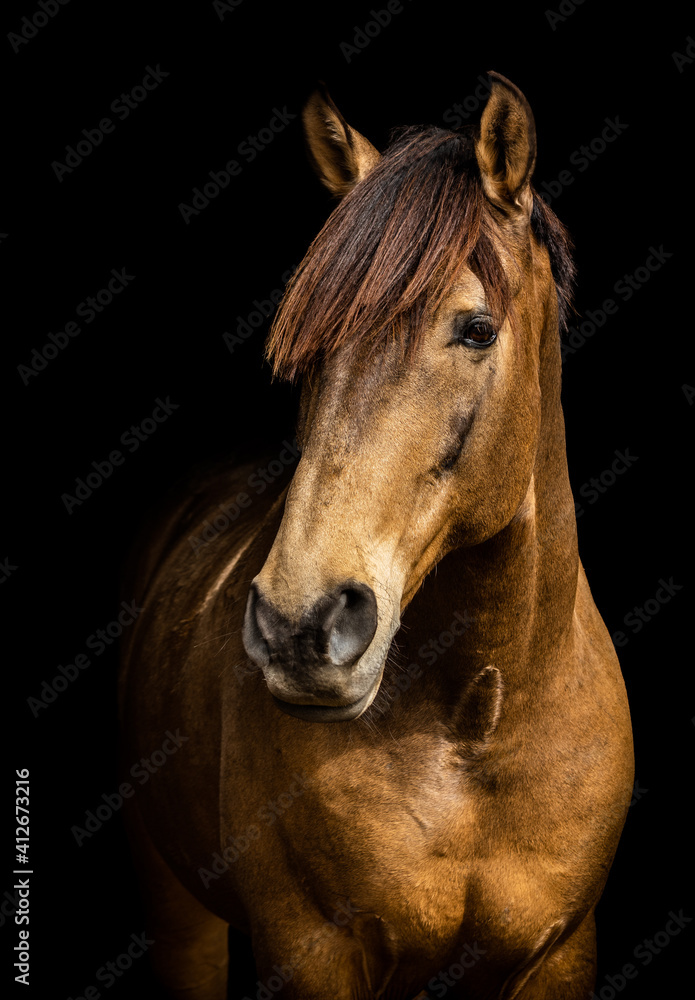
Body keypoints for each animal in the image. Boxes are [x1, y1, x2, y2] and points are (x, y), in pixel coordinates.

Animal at [118, 72, 634, 1000]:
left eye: (476, 328)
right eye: (306, 340)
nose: (300, 628)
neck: (475, 729)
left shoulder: (561, 954)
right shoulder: (312, 952)